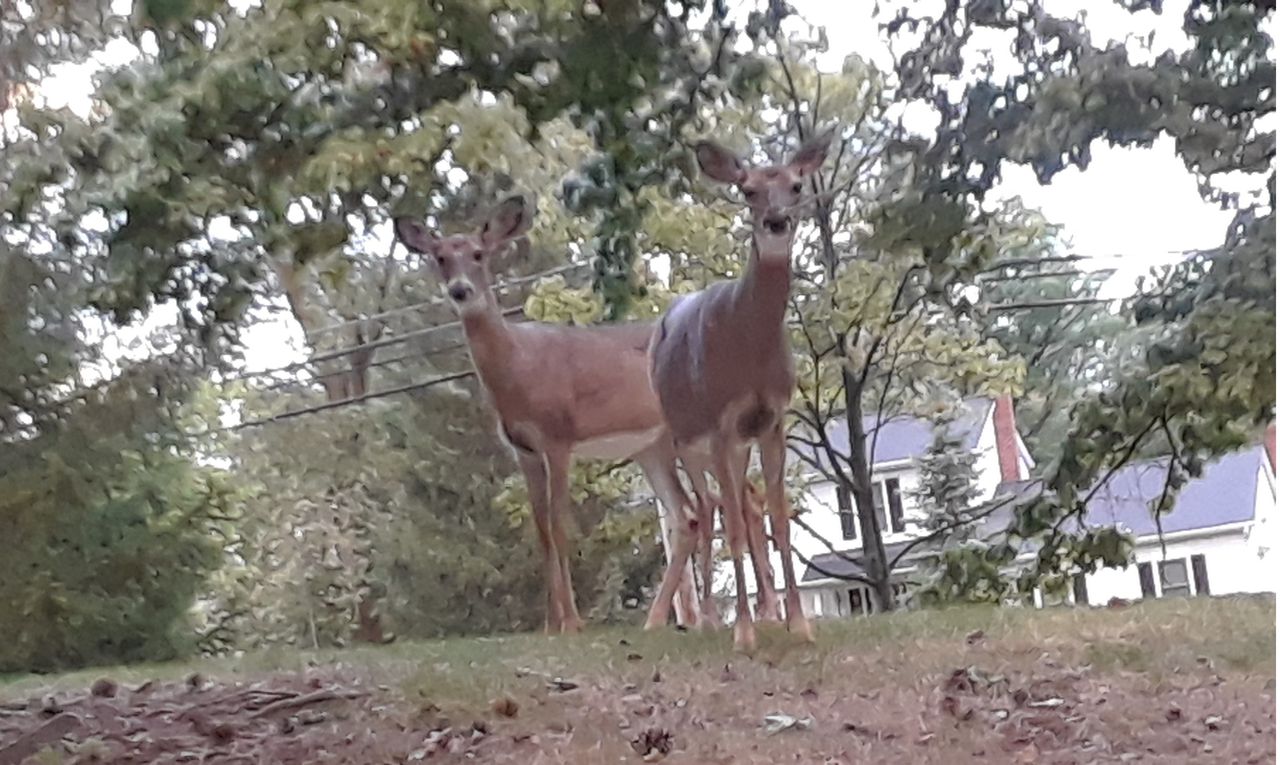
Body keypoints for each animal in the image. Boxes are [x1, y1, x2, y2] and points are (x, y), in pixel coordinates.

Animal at [394, 197, 762, 634]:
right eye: (440, 257)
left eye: (479, 254)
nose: (460, 290)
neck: (519, 366)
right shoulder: (523, 448)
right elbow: (540, 531)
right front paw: (549, 624)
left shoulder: (558, 436)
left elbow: (558, 525)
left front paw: (571, 621)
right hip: (653, 448)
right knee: (693, 513)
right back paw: (659, 619)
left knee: (731, 501)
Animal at [645, 130, 834, 652]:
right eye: (747, 190)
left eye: (795, 185)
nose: (776, 221)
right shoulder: (720, 423)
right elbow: (730, 525)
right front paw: (744, 633)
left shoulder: (770, 420)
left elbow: (780, 520)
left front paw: (799, 624)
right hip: (685, 437)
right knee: (708, 510)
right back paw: (710, 619)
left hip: (729, 446)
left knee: (733, 506)